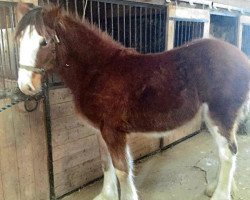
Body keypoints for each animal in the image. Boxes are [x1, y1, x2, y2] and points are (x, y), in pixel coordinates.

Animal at [15, 3, 250, 200]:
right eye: (18, 40)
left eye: (44, 42)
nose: (25, 86)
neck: (98, 71)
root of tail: (242, 58)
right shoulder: (101, 131)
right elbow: (106, 164)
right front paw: (106, 195)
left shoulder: (113, 132)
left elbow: (122, 170)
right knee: (223, 151)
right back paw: (215, 188)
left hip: (220, 116)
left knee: (228, 153)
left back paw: (220, 195)